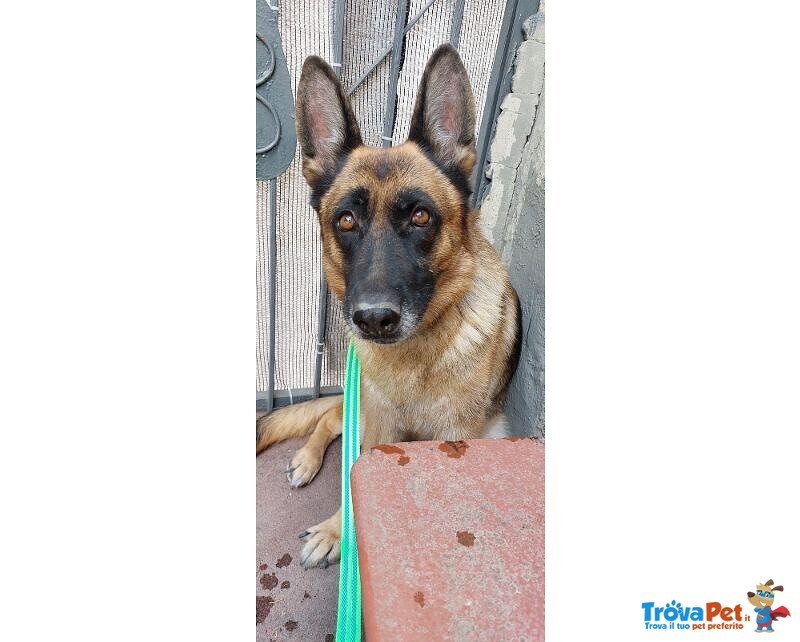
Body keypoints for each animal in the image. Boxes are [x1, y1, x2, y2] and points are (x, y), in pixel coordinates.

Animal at [253, 43, 520, 564]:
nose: (374, 320)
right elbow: (356, 480)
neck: (413, 360)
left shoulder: (452, 440)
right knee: (331, 420)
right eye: (346, 220)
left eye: (420, 216)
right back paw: (308, 463)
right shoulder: (378, 425)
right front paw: (337, 531)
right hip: (362, 412)